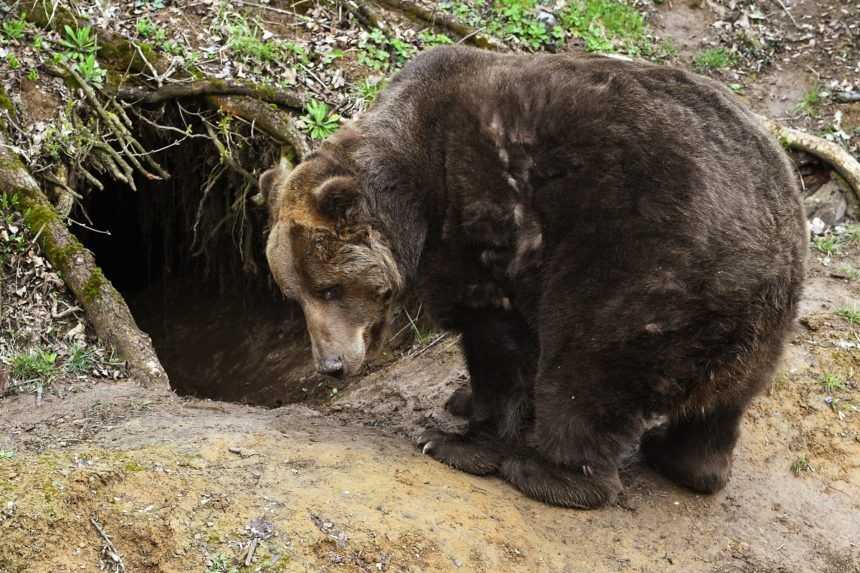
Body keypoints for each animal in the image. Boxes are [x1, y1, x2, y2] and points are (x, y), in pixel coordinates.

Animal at [260, 47, 808, 508]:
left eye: (329, 288)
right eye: (294, 295)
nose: (331, 365)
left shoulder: (482, 226)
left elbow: (499, 341)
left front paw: (457, 438)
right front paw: (462, 402)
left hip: (643, 273)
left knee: (585, 369)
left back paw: (545, 472)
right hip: (757, 319)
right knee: (724, 402)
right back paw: (687, 461)